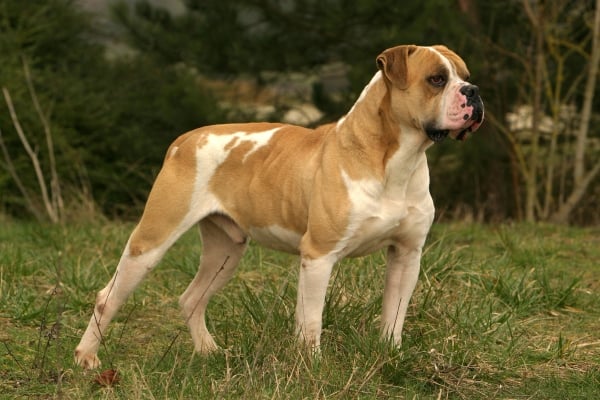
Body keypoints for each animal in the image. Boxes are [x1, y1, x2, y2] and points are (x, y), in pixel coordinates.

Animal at [76, 43, 482, 368]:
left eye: (464, 75)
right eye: (436, 79)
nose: (474, 92)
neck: (397, 160)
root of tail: (184, 141)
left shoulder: (406, 254)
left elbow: (394, 314)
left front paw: (390, 355)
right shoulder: (319, 256)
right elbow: (312, 320)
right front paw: (313, 366)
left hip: (226, 251)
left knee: (192, 298)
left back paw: (210, 353)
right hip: (153, 239)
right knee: (108, 298)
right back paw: (87, 358)